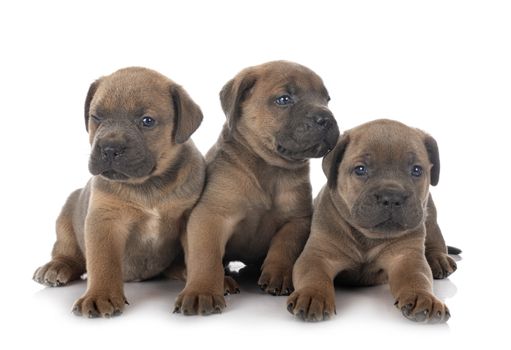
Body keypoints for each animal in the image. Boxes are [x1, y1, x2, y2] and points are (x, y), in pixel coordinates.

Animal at [32, 66, 206, 318]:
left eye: (147, 121)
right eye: (97, 117)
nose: (109, 148)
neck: (147, 185)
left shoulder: (188, 218)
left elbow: (197, 255)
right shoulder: (104, 220)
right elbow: (103, 263)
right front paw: (99, 295)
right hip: (67, 215)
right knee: (68, 254)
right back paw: (56, 266)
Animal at [175, 60, 340, 314]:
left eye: (326, 99)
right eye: (284, 99)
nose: (327, 118)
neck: (269, 169)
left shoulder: (297, 219)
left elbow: (285, 245)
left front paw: (278, 274)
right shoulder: (210, 216)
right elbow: (206, 257)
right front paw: (202, 290)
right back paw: (224, 281)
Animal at [288, 119, 456, 322]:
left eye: (416, 170)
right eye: (361, 169)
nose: (392, 197)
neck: (367, 237)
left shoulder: (407, 257)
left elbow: (418, 277)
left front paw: (424, 297)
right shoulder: (317, 255)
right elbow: (313, 275)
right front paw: (313, 295)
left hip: (429, 213)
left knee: (435, 237)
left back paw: (439, 259)